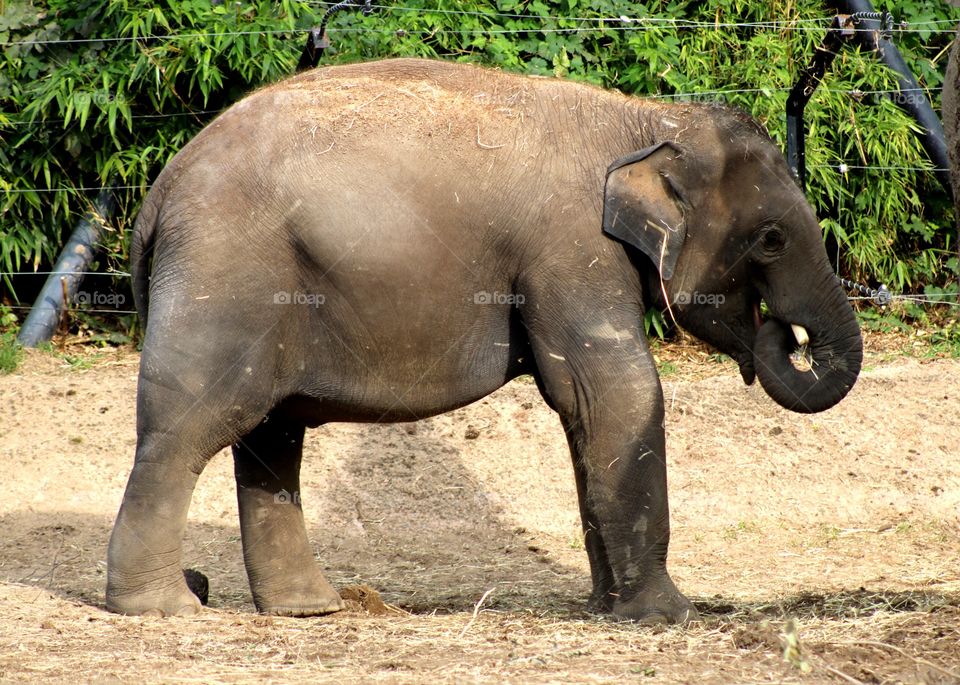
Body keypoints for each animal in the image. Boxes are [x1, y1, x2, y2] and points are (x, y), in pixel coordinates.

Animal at [107, 58, 862, 623]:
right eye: (771, 238)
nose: (781, 333)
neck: (645, 119)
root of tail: (160, 190)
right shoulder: (572, 250)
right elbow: (615, 392)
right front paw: (669, 615)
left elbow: (586, 409)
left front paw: (608, 608)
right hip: (224, 276)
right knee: (189, 427)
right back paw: (164, 607)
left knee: (270, 437)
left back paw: (310, 608)